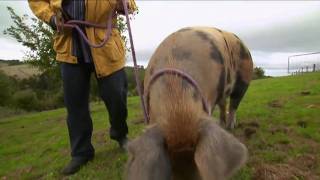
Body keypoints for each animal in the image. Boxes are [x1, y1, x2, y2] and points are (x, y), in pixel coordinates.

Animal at [125, 27, 252, 180]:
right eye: (172, 173)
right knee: (223, 104)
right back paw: (222, 125)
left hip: (245, 74)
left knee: (234, 103)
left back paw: (230, 126)